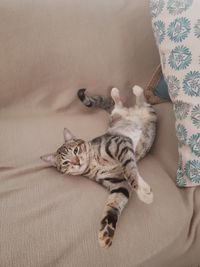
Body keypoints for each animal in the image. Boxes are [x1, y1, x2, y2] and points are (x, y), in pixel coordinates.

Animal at [40, 86, 156, 249]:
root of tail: (132, 111)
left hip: (145, 112)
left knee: (135, 101)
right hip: (118, 116)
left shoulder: (120, 143)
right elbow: (113, 205)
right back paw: (118, 93)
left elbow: (130, 170)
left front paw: (144, 193)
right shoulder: (119, 183)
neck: (93, 164)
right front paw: (106, 232)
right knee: (119, 105)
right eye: (65, 163)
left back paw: (131, 90)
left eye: (76, 150)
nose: (77, 162)